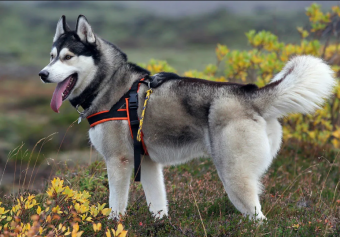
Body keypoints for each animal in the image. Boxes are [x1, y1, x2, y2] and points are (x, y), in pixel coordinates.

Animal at [39, 15, 334, 220]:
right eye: (51, 56)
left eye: (68, 57)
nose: (42, 74)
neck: (110, 84)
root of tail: (249, 94)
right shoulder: (147, 163)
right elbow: (158, 206)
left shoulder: (118, 162)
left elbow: (116, 207)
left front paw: (114, 225)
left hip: (234, 178)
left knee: (259, 220)